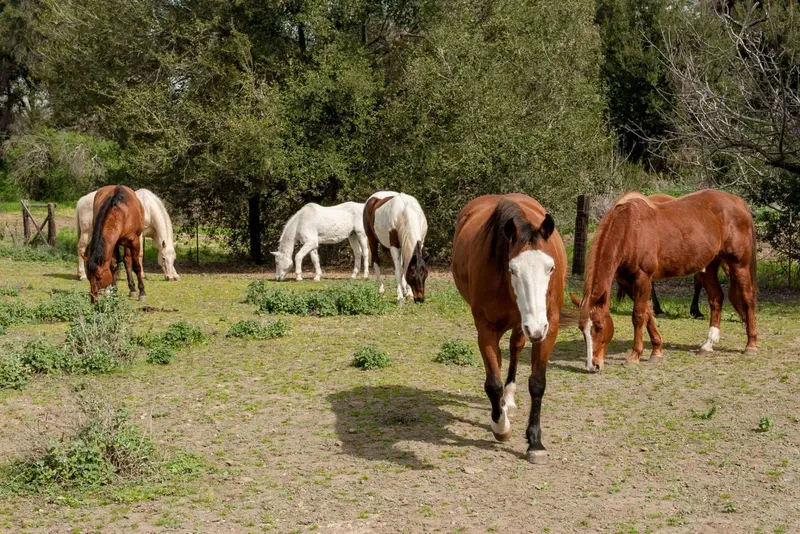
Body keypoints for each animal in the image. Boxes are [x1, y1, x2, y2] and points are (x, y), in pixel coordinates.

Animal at [451, 194, 566, 464]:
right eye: (513, 269)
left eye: (550, 268)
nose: (536, 327)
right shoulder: (486, 329)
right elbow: (492, 383)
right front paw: (500, 425)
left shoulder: (549, 327)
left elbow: (537, 383)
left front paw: (535, 443)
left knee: (515, 349)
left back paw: (509, 397)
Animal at [574, 189, 758, 373]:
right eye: (582, 329)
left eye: (599, 327)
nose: (593, 365)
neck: (630, 230)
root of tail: (738, 202)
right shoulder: (627, 283)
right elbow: (648, 314)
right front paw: (657, 351)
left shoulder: (642, 278)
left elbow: (638, 316)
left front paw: (634, 356)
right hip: (708, 267)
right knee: (716, 298)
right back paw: (708, 344)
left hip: (739, 265)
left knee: (748, 298)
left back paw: (751, 345)